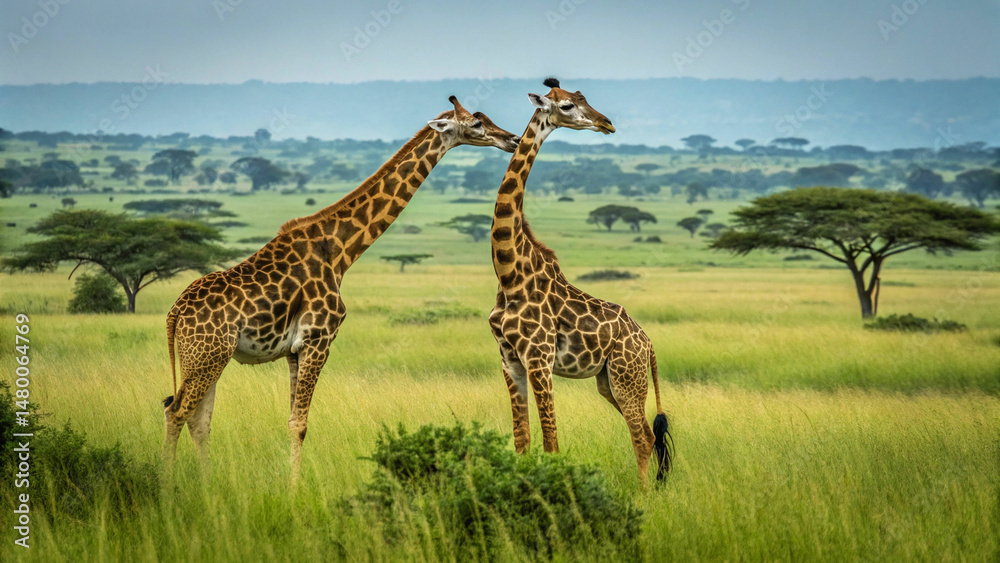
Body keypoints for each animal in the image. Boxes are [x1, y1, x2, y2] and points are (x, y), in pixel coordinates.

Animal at [163, 97, 520, 484]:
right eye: (476, 124)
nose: (513, 139)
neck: (339, 251)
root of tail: (175, 313)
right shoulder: (318, 339)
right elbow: (299, 423)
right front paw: (295, 488)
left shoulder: (294, 350)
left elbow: (292, 419)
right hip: (206, 356)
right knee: (176, 411)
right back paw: (166, 485)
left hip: (210, 358)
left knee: (197, 419)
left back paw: (205, 485)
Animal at [488, 79, 673, 483]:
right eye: (568, 106)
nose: (607, 122)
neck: (509, 273)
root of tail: (649, 345)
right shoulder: (510, 360)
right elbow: (522, 440)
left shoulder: (539, 358)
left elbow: (550, 441)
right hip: (609, 382)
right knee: (648, 435)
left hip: (627, 377)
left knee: (643, 437)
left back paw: (643, 493)